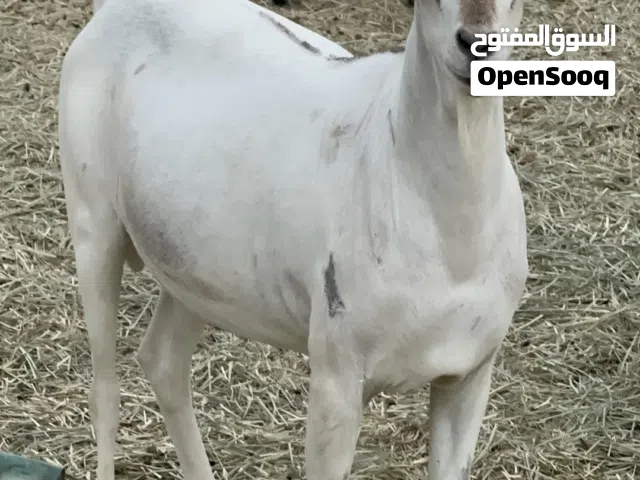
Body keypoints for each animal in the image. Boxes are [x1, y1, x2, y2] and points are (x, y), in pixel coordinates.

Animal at [58, 0, 529, 479]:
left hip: (196, 272)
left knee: (163, 361)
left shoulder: (470, 372)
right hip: (92, 217)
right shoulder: (337, 375)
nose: (476, 42)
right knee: (105, 392)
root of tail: (109, 11)